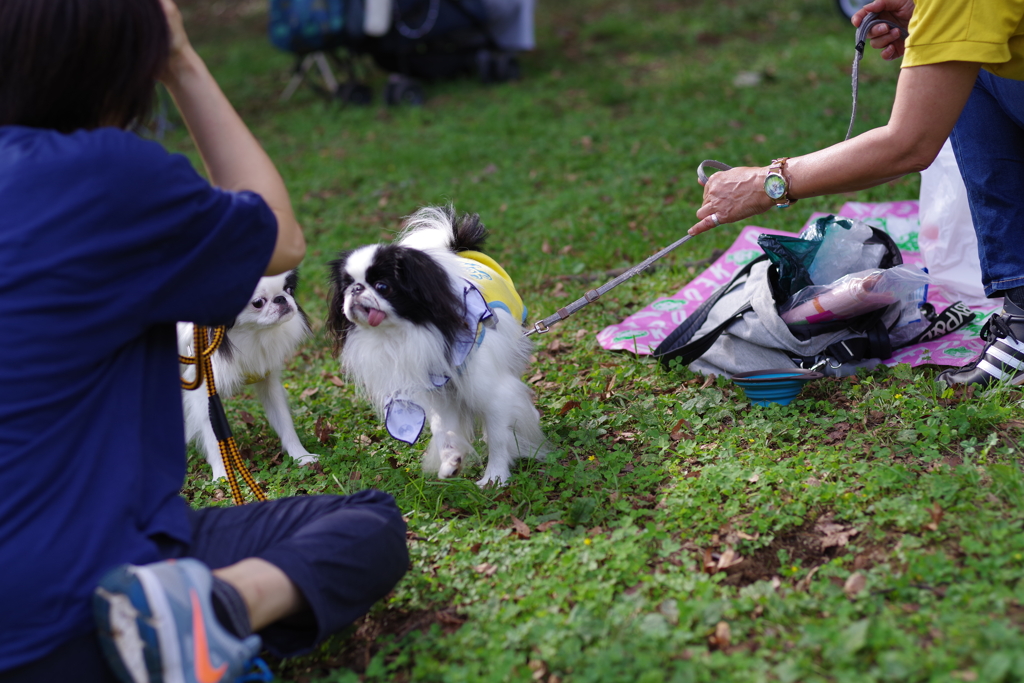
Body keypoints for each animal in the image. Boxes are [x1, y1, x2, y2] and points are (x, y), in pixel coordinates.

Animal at [178, 270, 317, 479]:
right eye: (258, 302)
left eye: (289, 289)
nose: (281, 298)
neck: (252, 335)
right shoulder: (204, 396)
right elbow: (214, 438)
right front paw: (222, 476)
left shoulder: (269, 382)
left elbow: (284, 421)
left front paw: (301, 456)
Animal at [327, 205, 552, 483]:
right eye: (346, 288)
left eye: (382, 286)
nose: (356, 289)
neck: (402, 333)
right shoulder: (440, 391)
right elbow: (443, 428)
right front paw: (451, 460)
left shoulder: (490, 387)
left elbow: (498, 435)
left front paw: (495, 477)